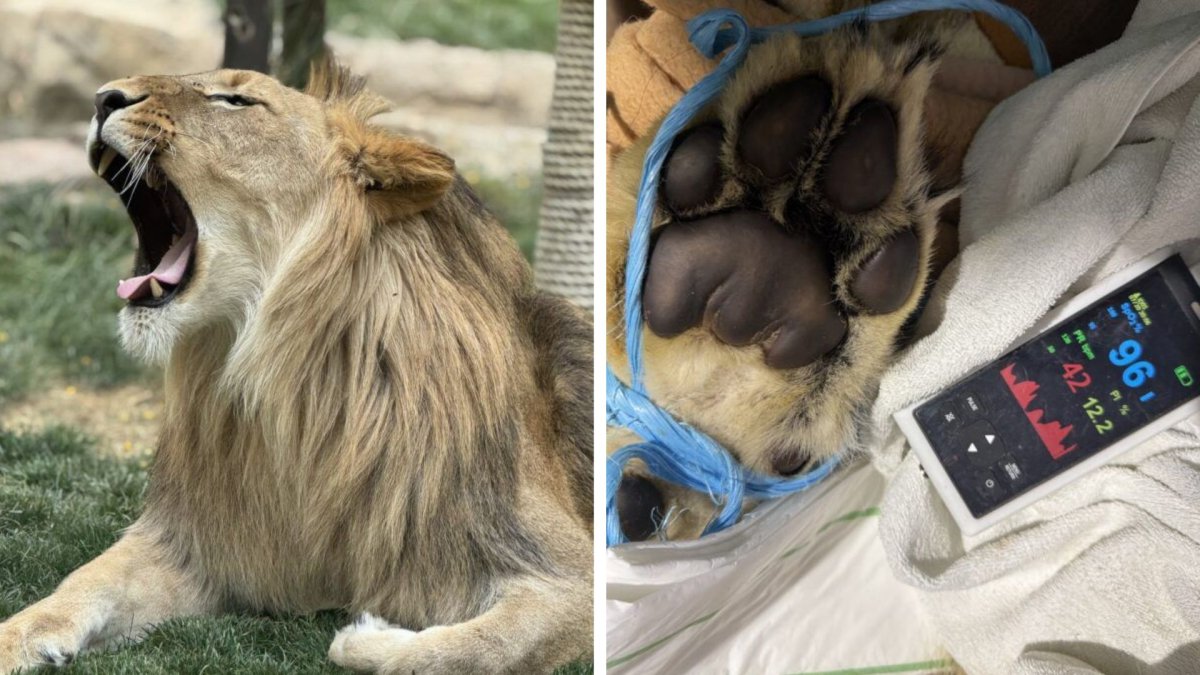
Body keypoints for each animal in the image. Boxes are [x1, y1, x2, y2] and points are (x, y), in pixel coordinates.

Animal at [0, 61, 593, 674]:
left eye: (236, 101)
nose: (102, 99)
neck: (297, 389)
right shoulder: (200, 546)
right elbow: (82, 582)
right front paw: (15, 637)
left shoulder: (567, 572)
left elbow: (468, 651)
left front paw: (367, 636)